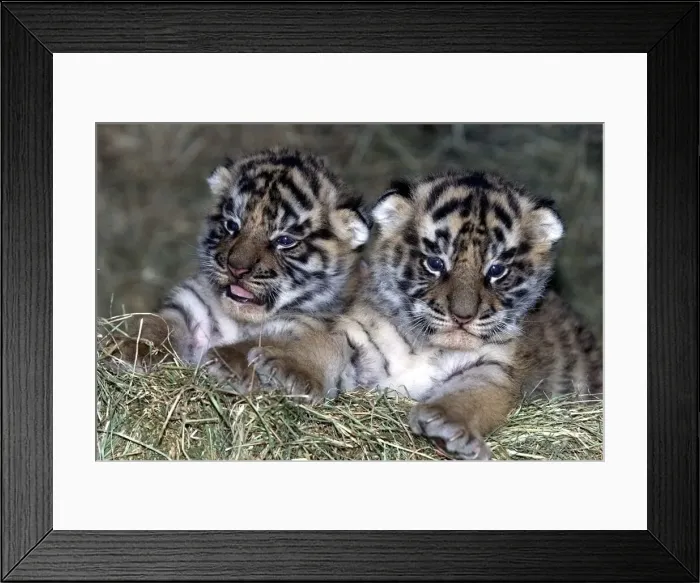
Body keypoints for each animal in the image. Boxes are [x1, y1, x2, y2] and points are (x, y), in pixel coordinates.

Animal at [104, 147, 370, 381]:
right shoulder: (188, 305)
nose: (237, 268)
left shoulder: (304, 327)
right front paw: (130, 349)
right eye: (232, 225)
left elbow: (266, 342)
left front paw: (227, 362)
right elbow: (158, 326)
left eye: (284, 241)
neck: (239, 320)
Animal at [243, 170, 603, 460]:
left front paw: (447, 423)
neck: (427, 345)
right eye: (435, 263)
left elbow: (474, 394)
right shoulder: (356, 334)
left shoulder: (495, 368)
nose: (463, 316)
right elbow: (323, 343)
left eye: (496, 270)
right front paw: (290, 370)